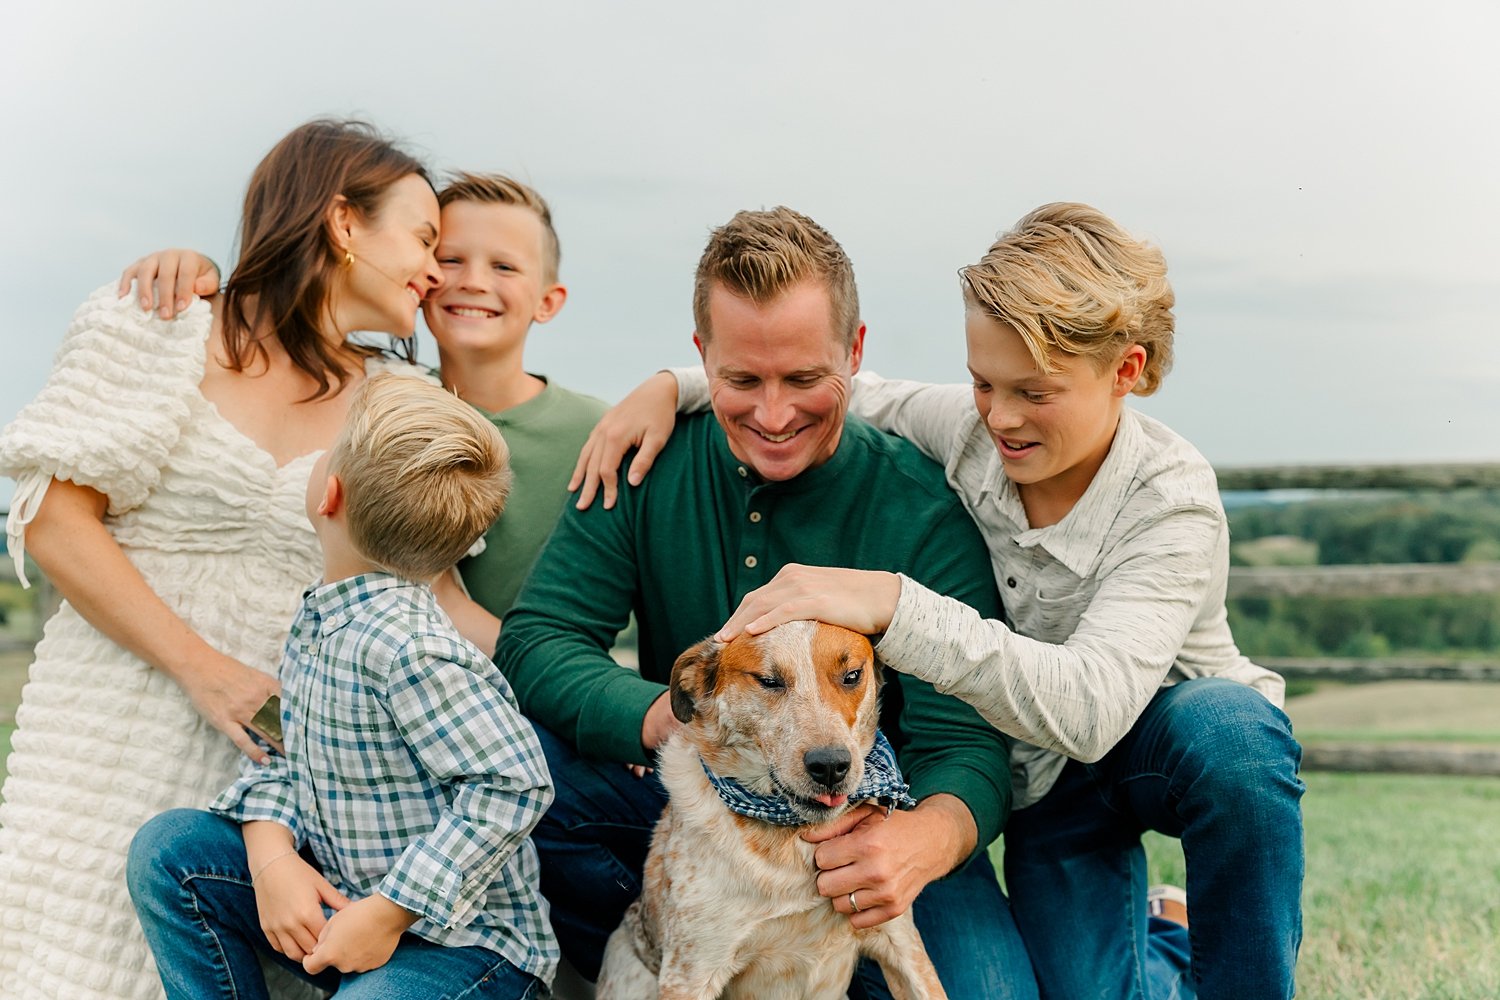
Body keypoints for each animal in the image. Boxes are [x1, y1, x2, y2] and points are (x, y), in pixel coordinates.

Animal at [597, 620, 948, 995]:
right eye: (769, 681)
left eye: (852, 675)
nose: (830, 765)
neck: (792, 838)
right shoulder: (691, 973)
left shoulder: (902, 944)